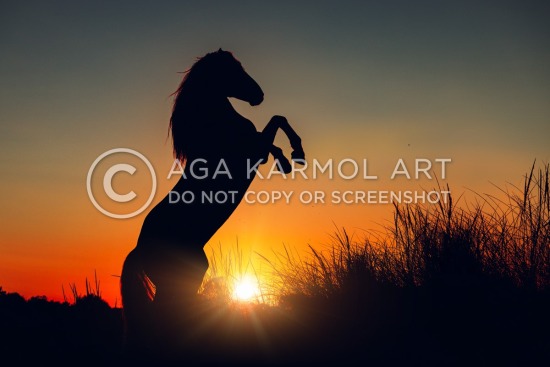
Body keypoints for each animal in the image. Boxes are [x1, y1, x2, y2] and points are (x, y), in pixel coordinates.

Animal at [120, 48, 306, 360]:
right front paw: (295, 153)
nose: (259, 95)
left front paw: (287, 160)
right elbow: (276, 122)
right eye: (233, 70)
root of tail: (138, 249)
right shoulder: (252, 150)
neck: (214, 129)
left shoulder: (256, 147)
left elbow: (273, 127)